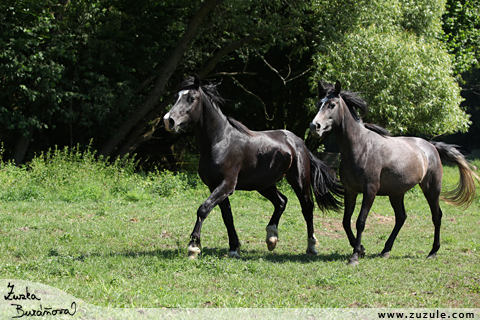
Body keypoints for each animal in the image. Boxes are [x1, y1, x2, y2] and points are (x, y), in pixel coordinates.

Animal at [163, 75, 344, 258]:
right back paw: (271, 238)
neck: (220, 141)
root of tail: (298, 141)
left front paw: (193, 247)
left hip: (299, 181)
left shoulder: (226, 185)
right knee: (281, 201)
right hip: (264, 184)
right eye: (176, 97)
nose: (168, 121)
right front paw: (234, 248)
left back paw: (311, 247)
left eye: (191, 98)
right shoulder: (216, 186)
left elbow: (203, 209)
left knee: (307, 208)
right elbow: (227, 217)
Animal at [310, 80, 478, 264]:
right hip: (397, 193)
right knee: (401, 217)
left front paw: (354, 256)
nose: (314, 126)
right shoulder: (350, 191)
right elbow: (346, 221)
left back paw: (433, 251)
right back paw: (386, 250)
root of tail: (432, 146)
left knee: (437, 216)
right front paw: (361, 249)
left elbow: (360, 221)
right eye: (318, 104)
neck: (361, 147)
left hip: (431, 189)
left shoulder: (370, 190)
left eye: (332, 105)